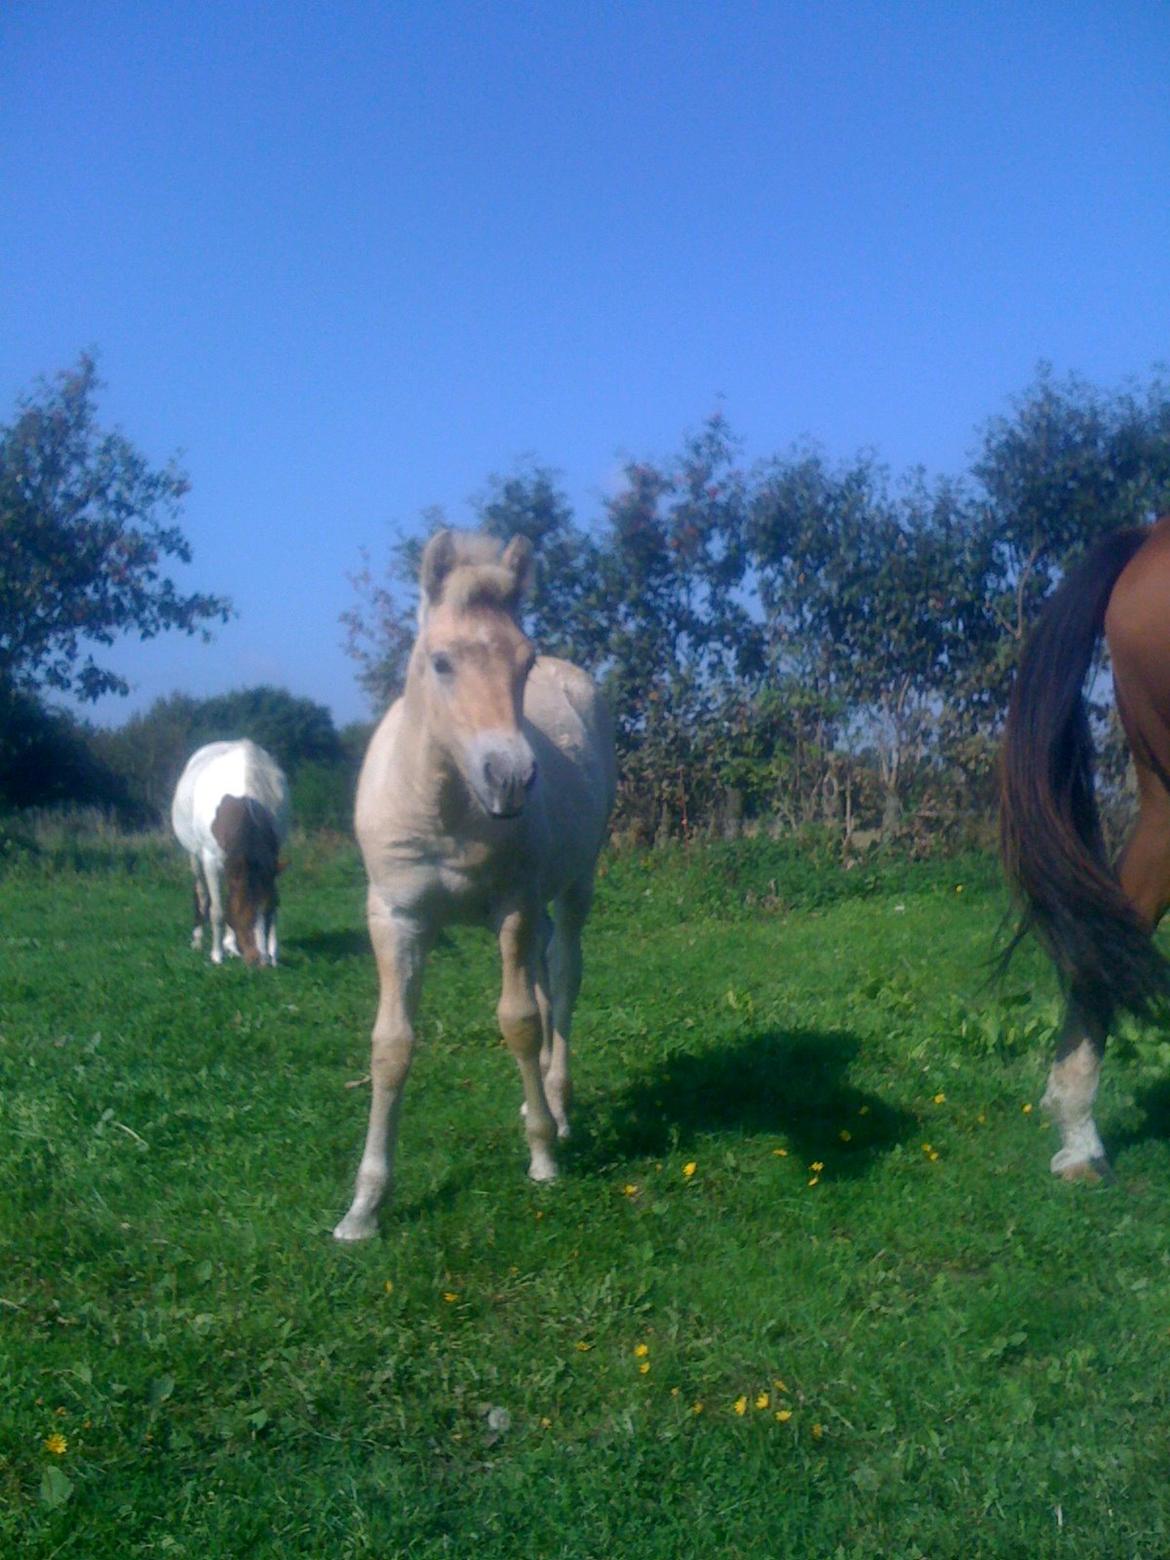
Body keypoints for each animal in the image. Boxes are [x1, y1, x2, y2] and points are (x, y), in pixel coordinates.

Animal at [170, 739, 291, 967]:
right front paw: (217, 955)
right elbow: (217, 911)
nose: (260, 961)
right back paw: (199, 940)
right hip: (195, 857)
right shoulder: (210, 861)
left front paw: (273, 954)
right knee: (202, 893)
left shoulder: (268, 862)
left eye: (269, 906)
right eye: (242, 909)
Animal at [333, 530, 617, 1235]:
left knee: (562, 980)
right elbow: (391, 1045)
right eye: (440, 662)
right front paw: (364, 1207)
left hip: (574, 885)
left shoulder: (512, 907)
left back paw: (557, 1105)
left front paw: (542, 1156)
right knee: (543, 973)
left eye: (525, 661)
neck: (444, 807)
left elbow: (519, 1022)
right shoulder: (397, 919)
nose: (511, 779)